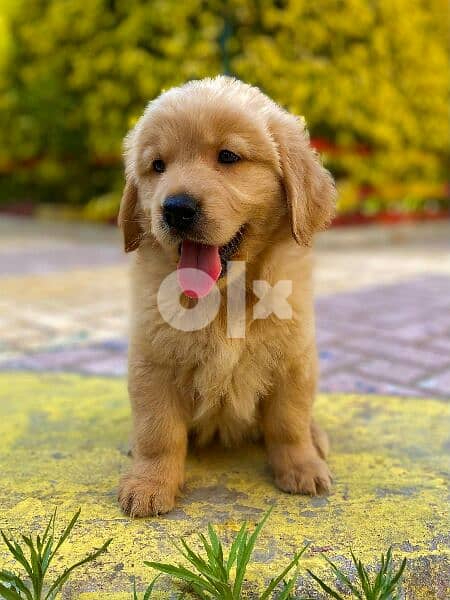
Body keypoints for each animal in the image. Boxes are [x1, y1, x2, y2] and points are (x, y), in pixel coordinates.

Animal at [118, 75, 336, 516]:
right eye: (158, 166)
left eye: (228, 156)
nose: (175, 208)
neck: (225, 298)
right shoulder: (153, 363)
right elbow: (158, 432)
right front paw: (149, 485)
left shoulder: (294, 360)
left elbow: (289, 421)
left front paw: (302, 467)